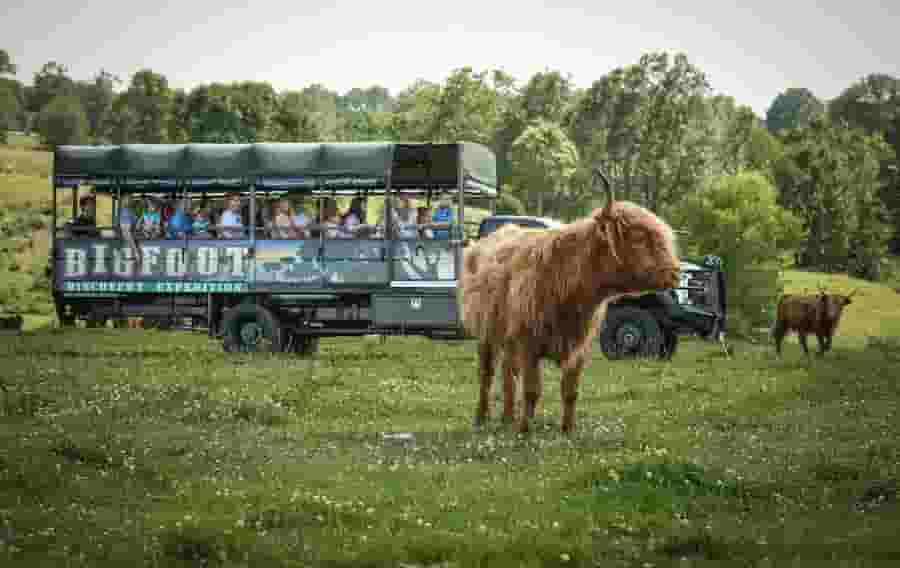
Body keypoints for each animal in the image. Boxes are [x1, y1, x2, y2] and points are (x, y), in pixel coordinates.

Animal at [460, 171, 680, 432]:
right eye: (637, 238)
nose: (675, 273)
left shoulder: (578, 347)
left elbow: (570, 391)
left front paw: (567, 431)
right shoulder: (528, 344)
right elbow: (532, 391)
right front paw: (525, 431)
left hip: (508, 339)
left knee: (508, 373)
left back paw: (507, 419)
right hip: (486, 333)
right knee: (487, 374)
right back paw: (481, 419)